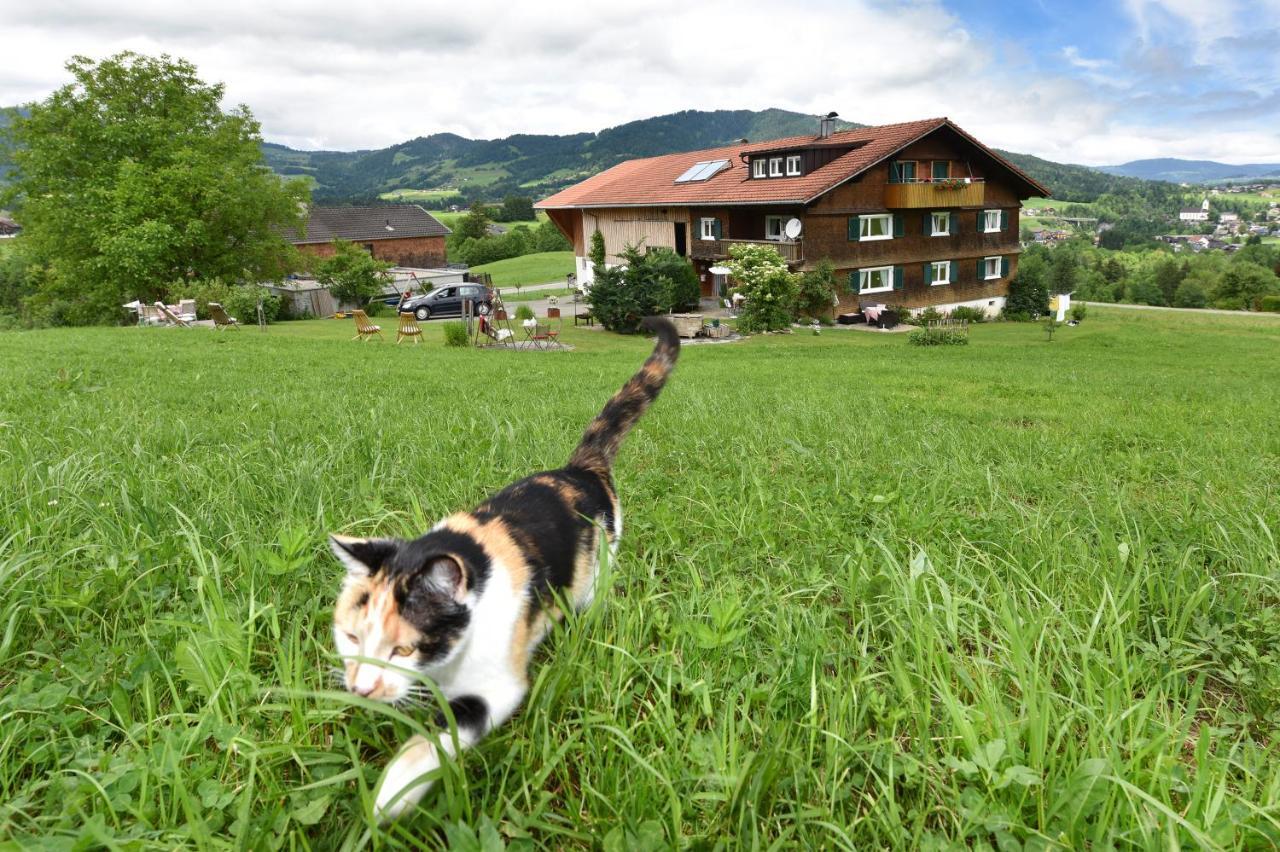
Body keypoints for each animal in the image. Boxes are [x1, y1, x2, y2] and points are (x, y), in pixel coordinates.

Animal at [332, 314, 680, 818]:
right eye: (353, 638)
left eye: (402, 649)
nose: (361, 689)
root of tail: (579, 469)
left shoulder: (498, 682)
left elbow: (448, 729)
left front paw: (391, 794)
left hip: (602, 560)